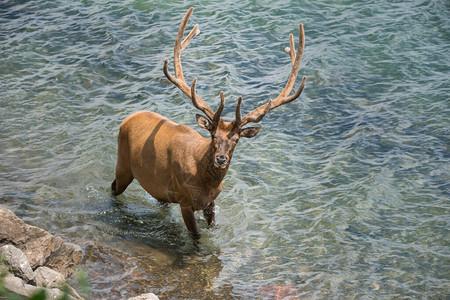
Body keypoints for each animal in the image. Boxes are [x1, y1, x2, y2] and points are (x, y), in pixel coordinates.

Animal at [111, 7, 306, 239]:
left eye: (237, 140)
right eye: (213, 135)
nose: (221, 158)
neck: (205, 184)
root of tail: (128, 118)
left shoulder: (210, 203)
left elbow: (212, 228)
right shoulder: (184, 201)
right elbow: (196, 237)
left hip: (157, 188)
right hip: (123, 165)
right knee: (113, 188)